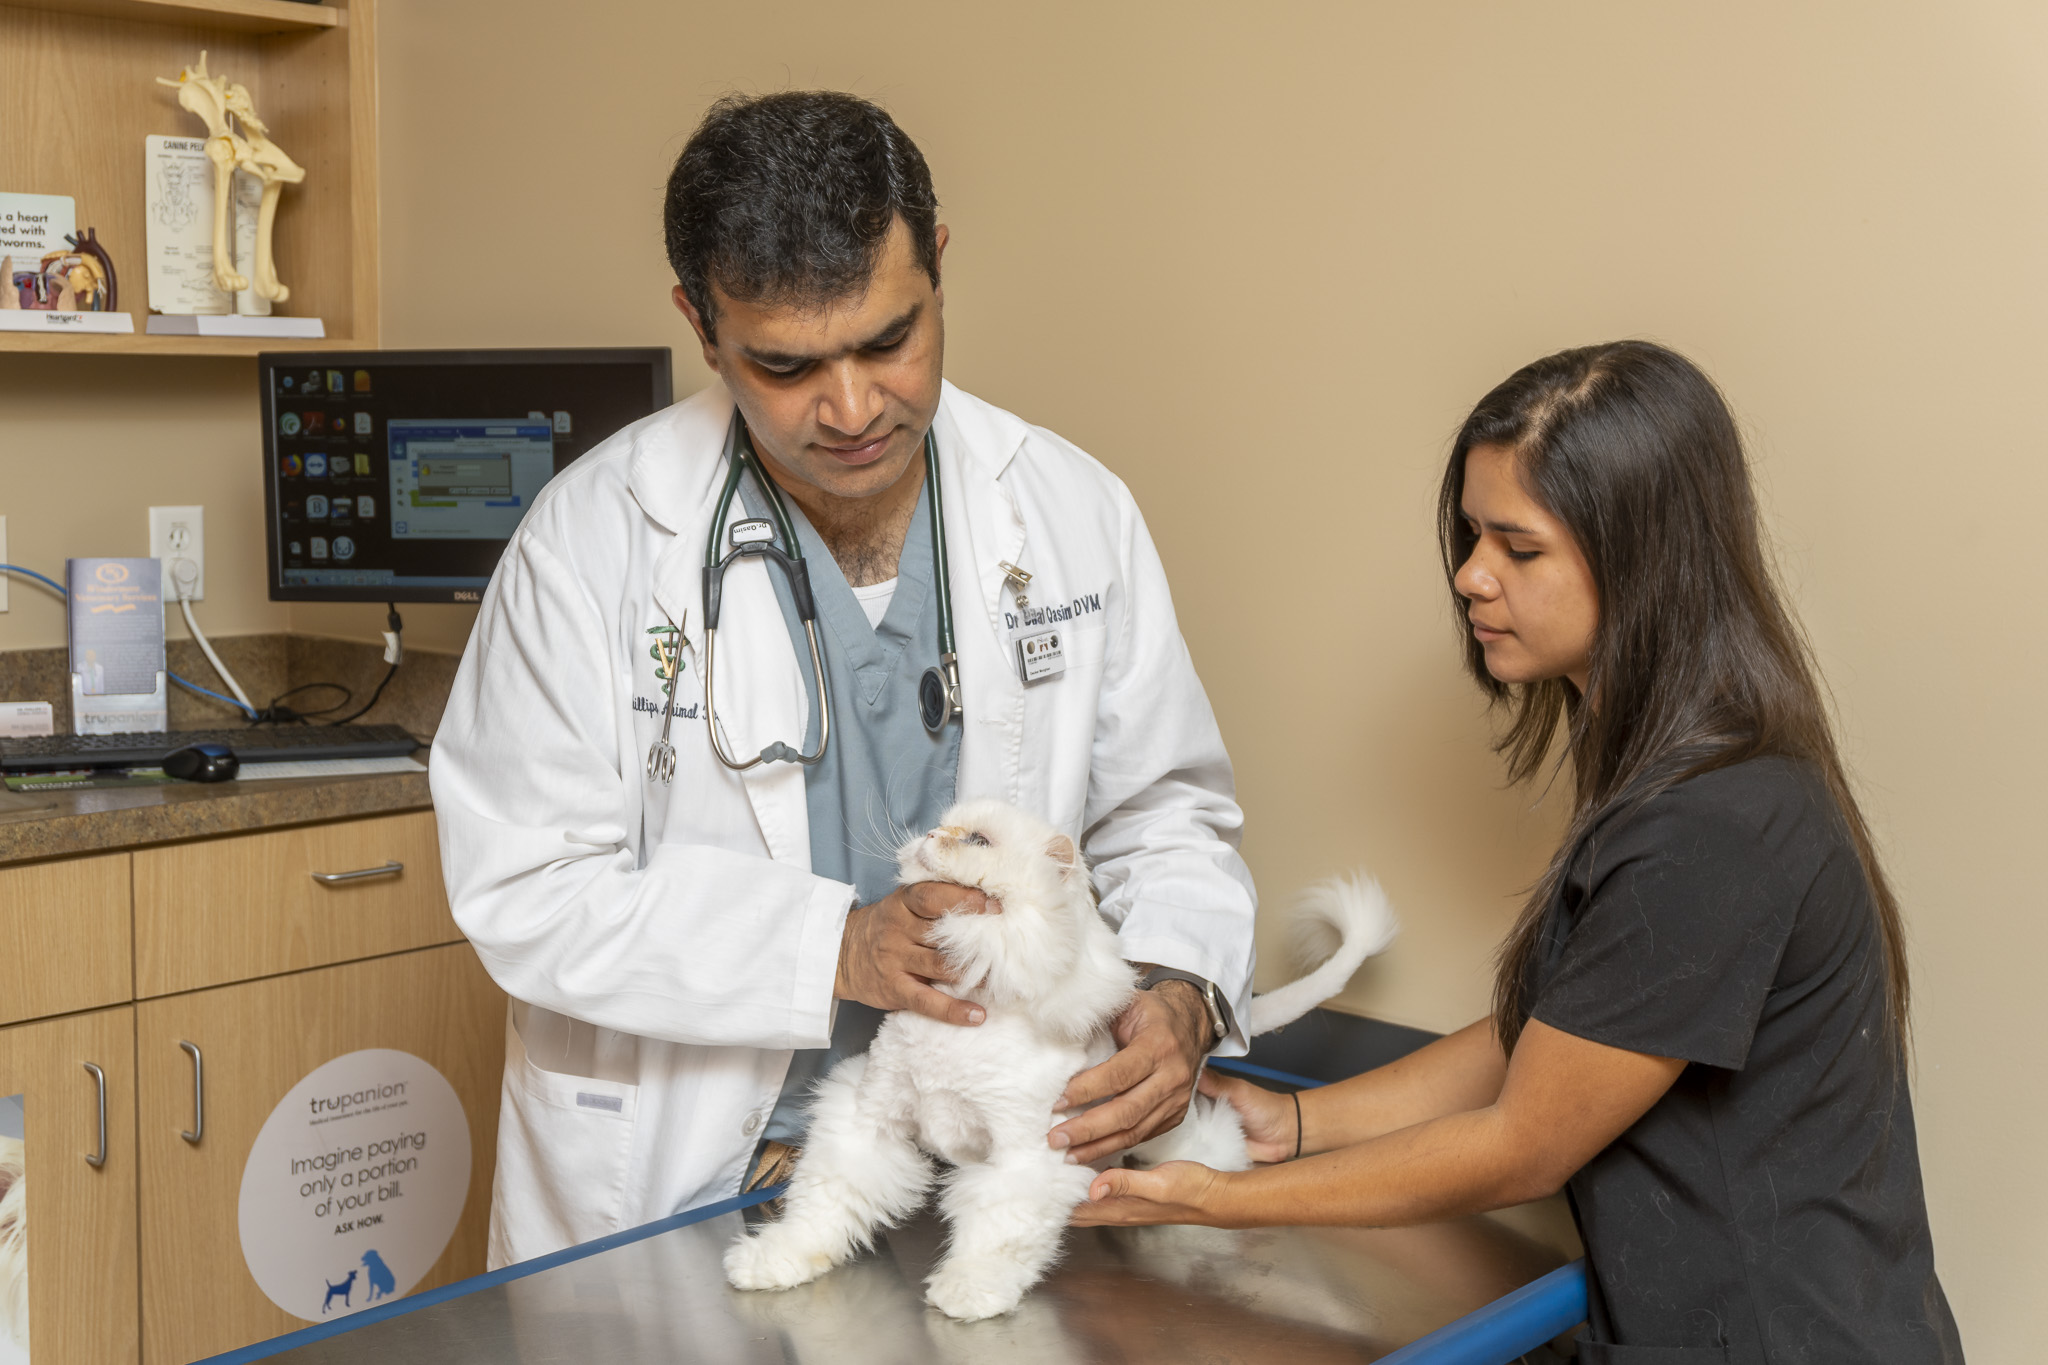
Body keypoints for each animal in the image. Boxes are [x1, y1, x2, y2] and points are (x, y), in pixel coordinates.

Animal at [720, 802, 1392, 1326]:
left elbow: (998, 1234)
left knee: (1219, 1140)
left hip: (1177, 1135)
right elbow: (824, 1205)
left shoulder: (1029, 1159)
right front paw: (775, 1259)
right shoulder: (870, 1122)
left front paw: (971, 1291)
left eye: (978, 839)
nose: (932, 834)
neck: (961, 1016)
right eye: (944, 824)